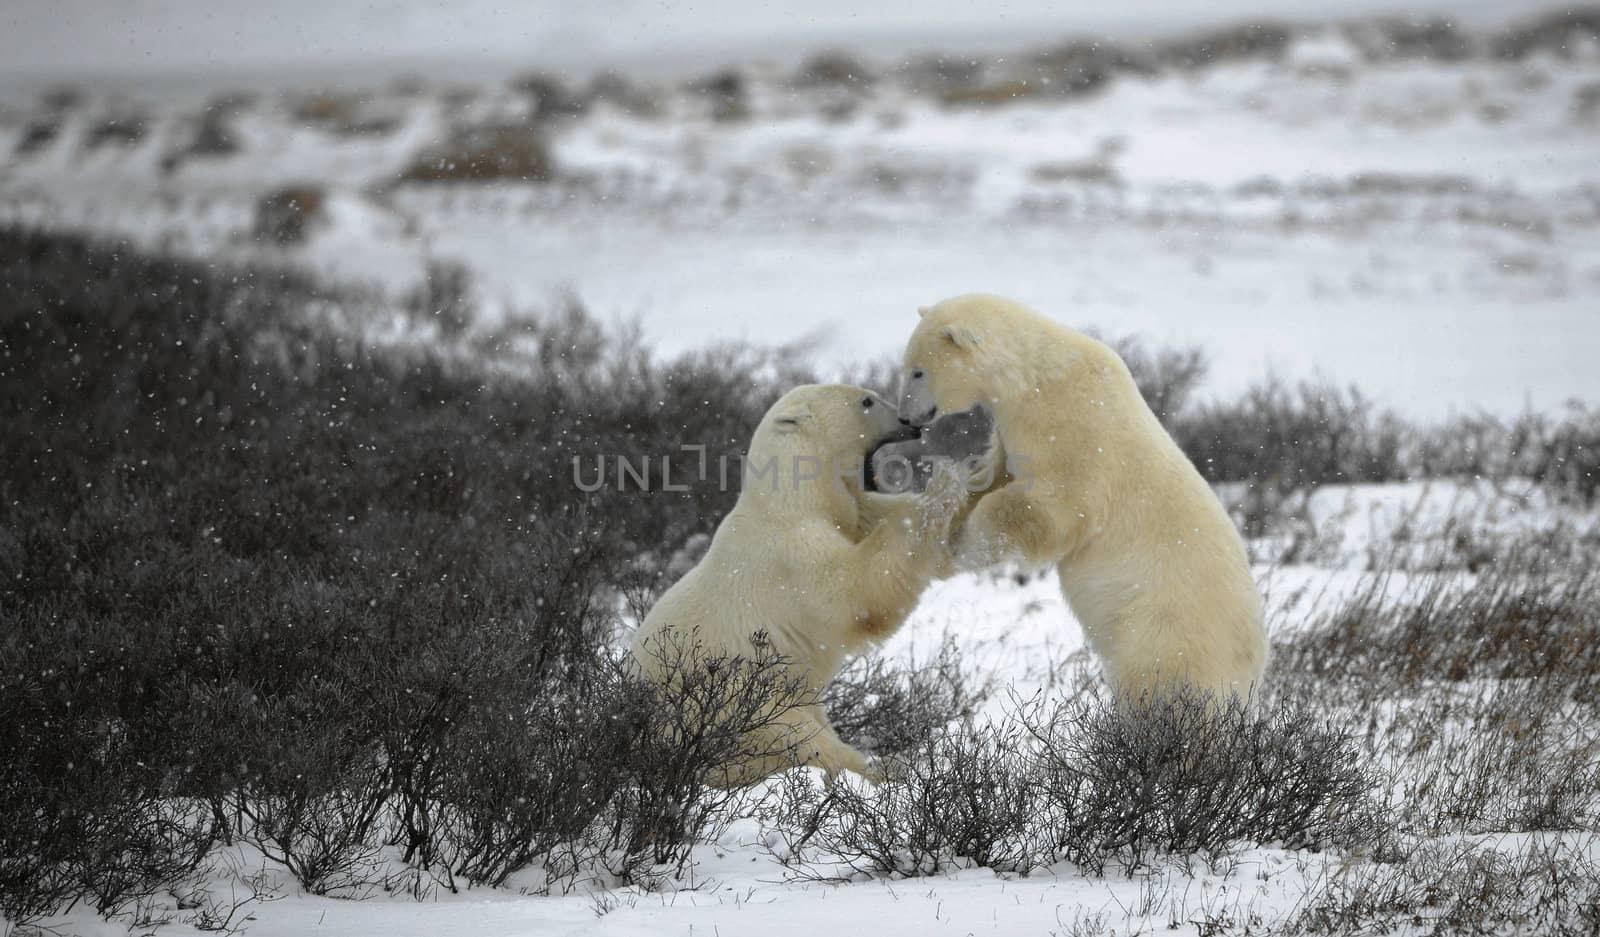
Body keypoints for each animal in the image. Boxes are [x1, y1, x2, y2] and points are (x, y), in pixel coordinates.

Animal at [630, 378, 966, 780]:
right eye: (867, 401)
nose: (909, 420)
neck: (791, 501)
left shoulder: (849, 515)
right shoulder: (792, 556)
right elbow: (856, 591)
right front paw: (941, 487)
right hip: (737, 709)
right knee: (804, 740)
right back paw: (882, 769)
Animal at [902, 294, 1260, 700]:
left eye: (917, 371)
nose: (906, 417)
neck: (1035, 377)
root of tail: (1252, 670)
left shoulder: (1072, 429)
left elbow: (1049, 510)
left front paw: (956, 547)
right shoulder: (1012, 432)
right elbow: (994, 475)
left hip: (1166, 630)